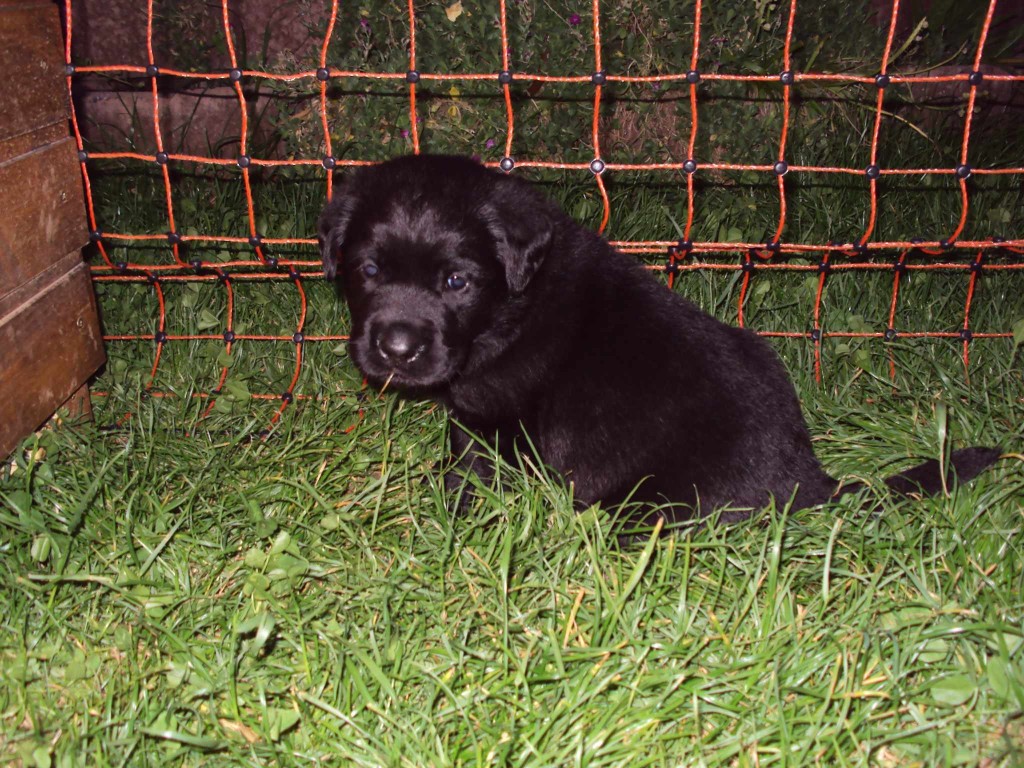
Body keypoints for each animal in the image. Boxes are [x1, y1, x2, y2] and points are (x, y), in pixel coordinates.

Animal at [319, 155, 999, 528]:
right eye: (369, 271)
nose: (397, 348)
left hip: (652, 502)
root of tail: (808, 478)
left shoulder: (490, 415)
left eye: (456, 281)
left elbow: (469, 468)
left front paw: (449, 515)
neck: (509, 307)